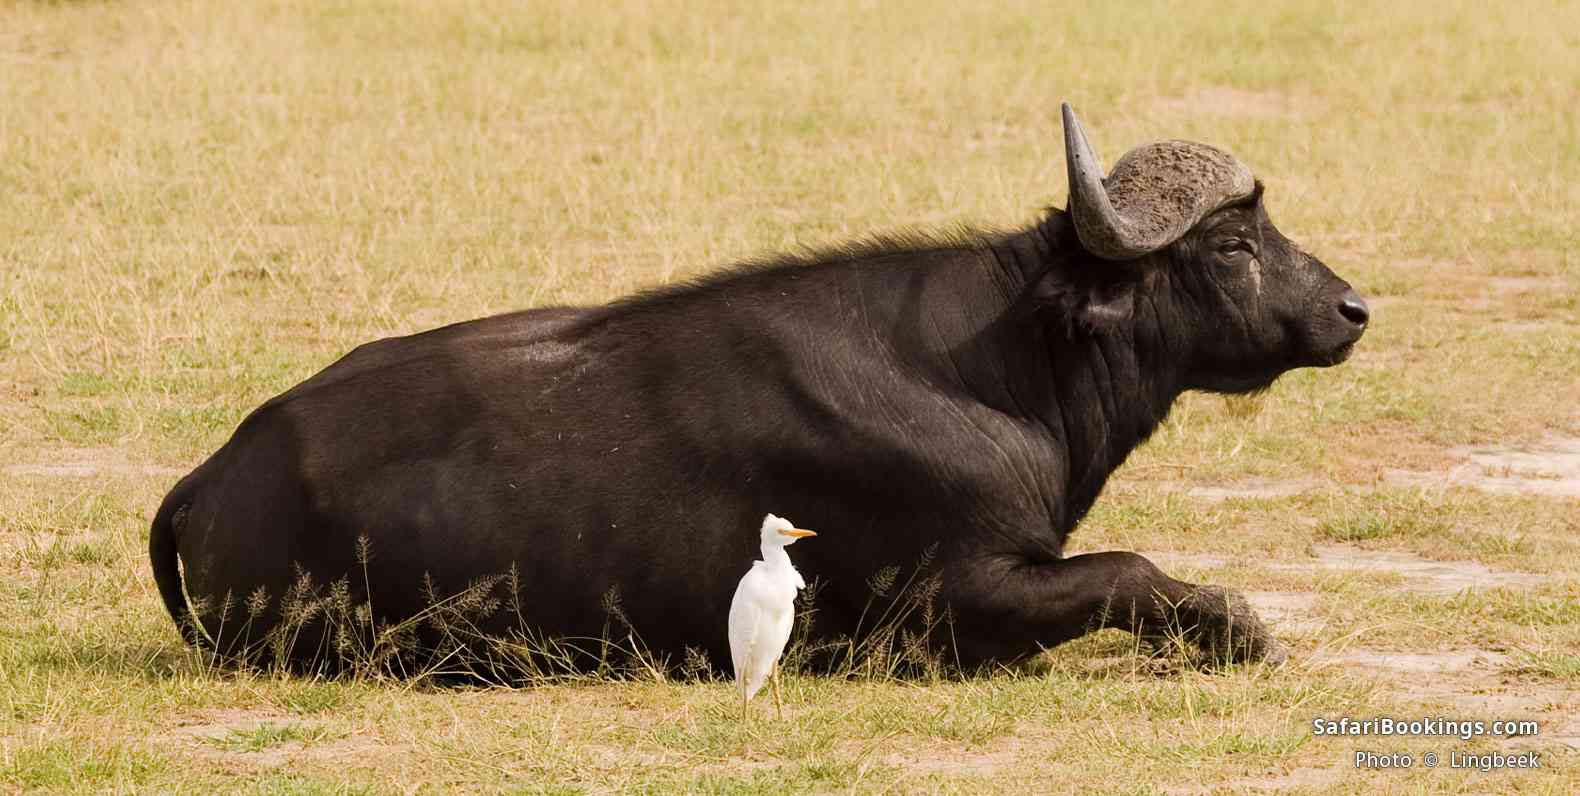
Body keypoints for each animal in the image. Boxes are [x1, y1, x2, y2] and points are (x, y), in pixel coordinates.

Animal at [150, 104, 1367, 675]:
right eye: (1233, 245)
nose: (1353, 308)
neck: (996, 370)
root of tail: (216, 472)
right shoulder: (953, 602)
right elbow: (1129, 570)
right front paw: (1240, 629)